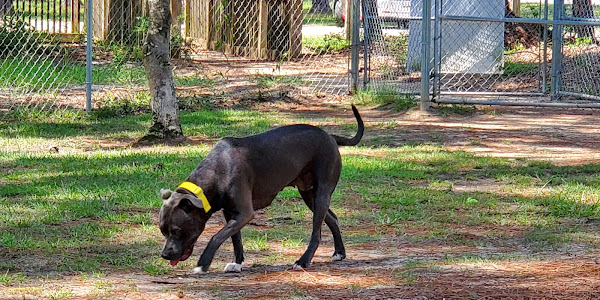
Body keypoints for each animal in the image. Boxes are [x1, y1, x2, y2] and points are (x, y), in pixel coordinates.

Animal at [159, 106, 364, 274]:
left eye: (176, 230)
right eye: (163, 231)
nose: (164, 255)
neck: (217, 172)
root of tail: (329, 136)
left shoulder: (244, 213)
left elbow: (217, 237)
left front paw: (203, 263)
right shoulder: (231, 213)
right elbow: (235, 239)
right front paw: (237, 263)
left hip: (321, 193)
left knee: (317, 233)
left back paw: (303, 261)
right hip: (309, 195)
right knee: (332, 218)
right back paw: (339, 252)